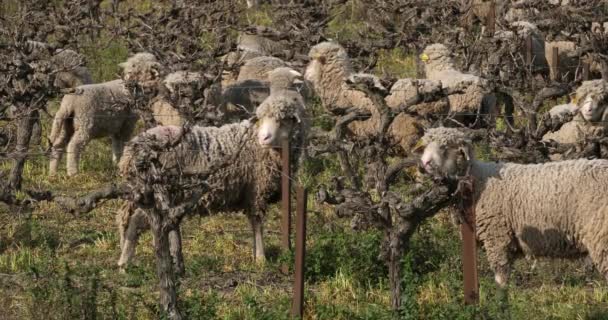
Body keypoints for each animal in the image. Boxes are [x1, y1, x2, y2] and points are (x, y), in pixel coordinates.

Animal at [115, 67, 308, 268]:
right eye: (261, 118)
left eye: (283, 120)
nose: (264, 138)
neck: (255, 142)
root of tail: (130, 150)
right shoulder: (257, 190)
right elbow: (257, 224)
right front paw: (261, 259)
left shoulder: (249, 192)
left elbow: (253, 224)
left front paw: (256, 254)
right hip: (156, 192)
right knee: (137, 222)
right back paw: (125, 263)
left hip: (139, 190)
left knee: (124, 217)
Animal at [416, 127, 608, 288]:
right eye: (425, 146)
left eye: (445, 147)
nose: (424, 163)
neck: (478, 180)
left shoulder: (496, 234)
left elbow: (500, 273)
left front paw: (501, 298)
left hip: (601, 234)